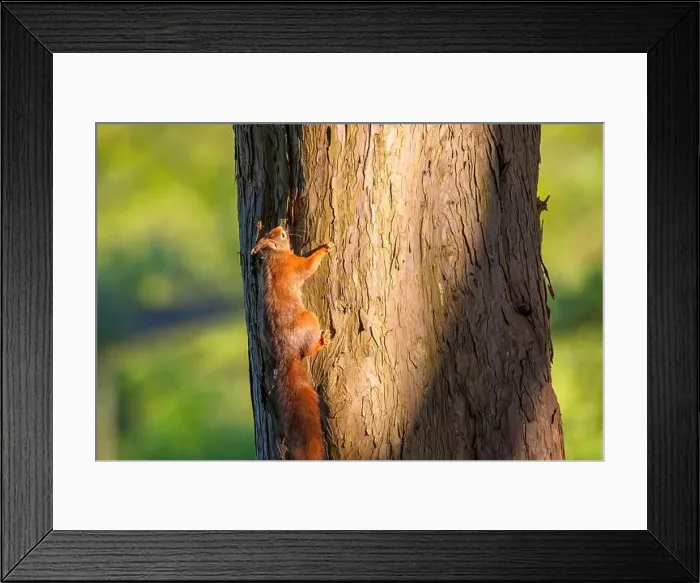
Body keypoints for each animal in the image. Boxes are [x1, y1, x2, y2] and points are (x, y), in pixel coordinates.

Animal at [251, 224, 334, 460]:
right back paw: (322, 341)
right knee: (307, 351)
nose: (282, 226)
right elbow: (308, 266)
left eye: (273, 232)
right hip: (310, 319)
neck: (275, 256)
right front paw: (324, 249)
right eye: (281, 235)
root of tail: (285, 350)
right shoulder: (295, 264)